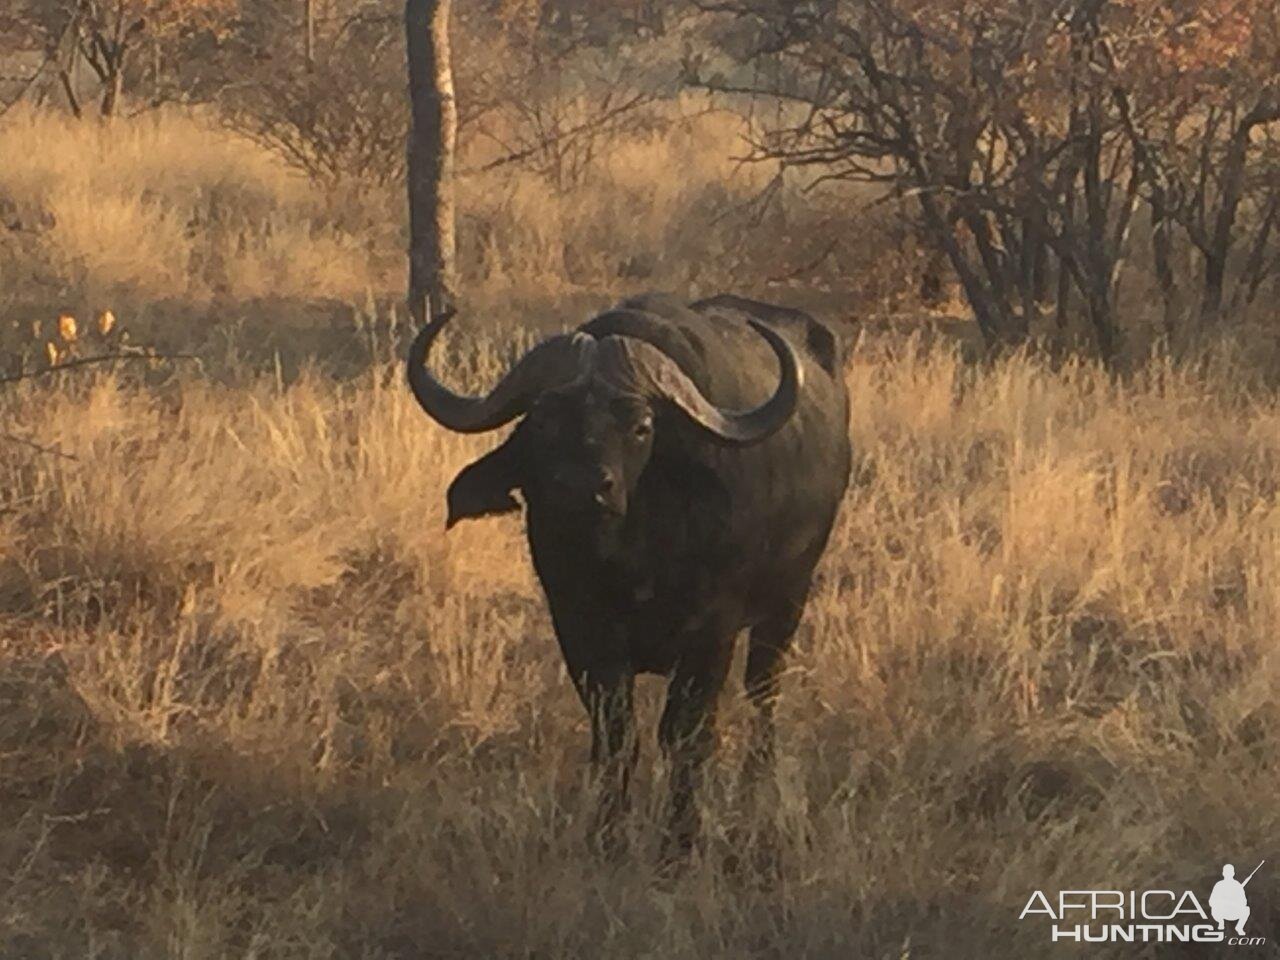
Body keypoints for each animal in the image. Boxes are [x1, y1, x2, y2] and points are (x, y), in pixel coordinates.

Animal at [409, 293, 849, 849]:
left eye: (641, 427)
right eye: (544, 423)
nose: (582, 488)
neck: (631, 559)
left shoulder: (712, 637)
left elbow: (685, 738)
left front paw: (680, 840)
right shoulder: (580, 632)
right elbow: (616, 735)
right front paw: (608, 835)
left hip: (789, 600)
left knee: (763, 693)